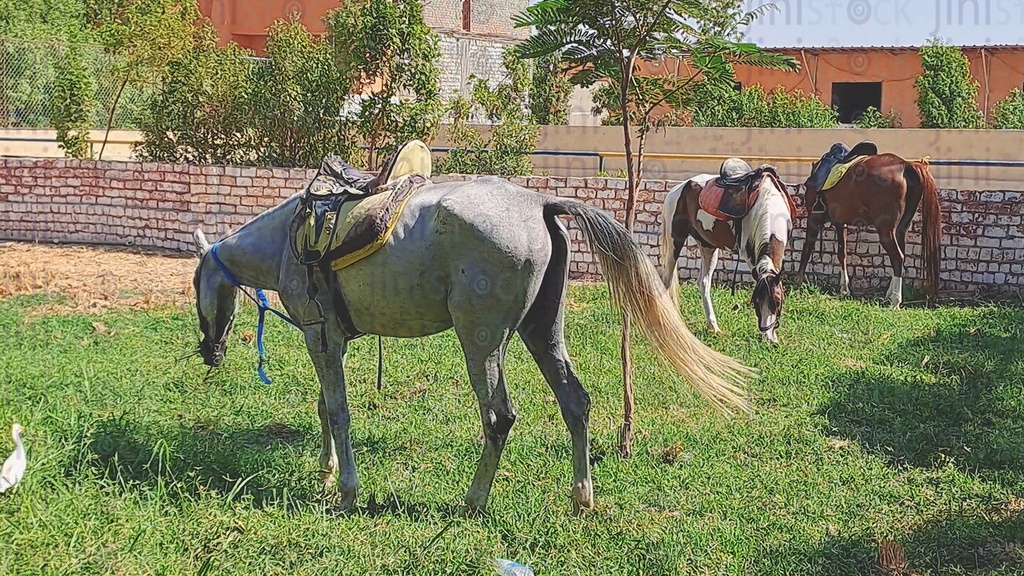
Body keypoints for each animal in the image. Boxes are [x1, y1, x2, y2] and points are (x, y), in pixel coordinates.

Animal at [190, 175, 753, 510]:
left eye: (195, 285)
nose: (208, 352)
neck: (291, 238)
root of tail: (540, 204)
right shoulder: (327, 342)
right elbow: (324, 407)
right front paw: (328, 472)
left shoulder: (320, 338)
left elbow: (338, 410)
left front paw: (345, 489)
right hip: (541, 333)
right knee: (576, 402)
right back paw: (581, 497)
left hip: (481, 343)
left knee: (499, 418)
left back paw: (473, 500)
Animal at [659, 168, 794, 342]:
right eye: (755, 302)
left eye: (778, 301)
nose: (767, 338)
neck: (769, 203)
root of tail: (676, 190)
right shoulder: (750, 255)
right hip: (675, 241)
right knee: (666, 281)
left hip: (708, 246)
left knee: (703, 282)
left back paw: (713, 327)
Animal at [790, 150, 942, 307]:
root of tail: (905, 165)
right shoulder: (840, 222)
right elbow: (842, 254)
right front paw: (844, 289)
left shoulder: (813, 218)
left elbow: (807, 249)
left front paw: (797, 282)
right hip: (901, 228)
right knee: (900, 255)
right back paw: (889, 294)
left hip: (885, 230)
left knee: (897, 257)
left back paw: (895, 300)